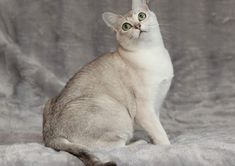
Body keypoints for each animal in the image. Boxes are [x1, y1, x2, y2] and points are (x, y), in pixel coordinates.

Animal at [43, 0, 173, 165]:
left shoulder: (156, 105)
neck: (153, 52)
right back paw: (139, 143)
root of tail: (51, 136)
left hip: (49, 102)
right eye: (126, 26)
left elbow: (155, 130)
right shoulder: (145, 108)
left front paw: (154, 142)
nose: (137, 25)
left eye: (141, 16)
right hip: (118, 111)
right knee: (111, 147)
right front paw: (167, 148)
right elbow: (160, 133)